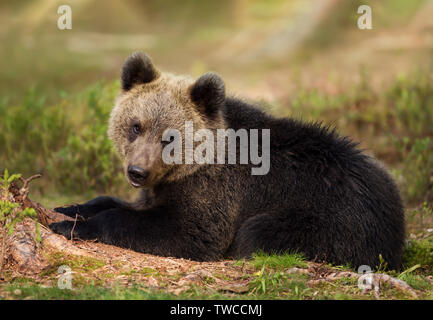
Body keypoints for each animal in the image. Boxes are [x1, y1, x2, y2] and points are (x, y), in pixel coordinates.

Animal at [50, 51, 404, 268]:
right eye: (136, 125)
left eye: (170, 137)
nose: (137, 172)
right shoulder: (160, 187)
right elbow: (120, 202)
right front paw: (68, 209)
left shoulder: (216, 192)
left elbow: (186, 232)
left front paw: (68, 226)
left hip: (331, 219)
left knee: (258, 232)